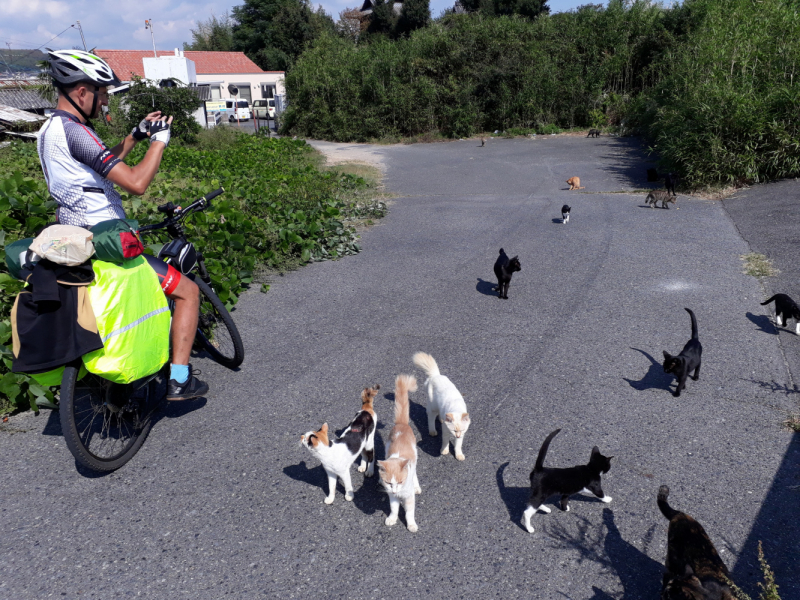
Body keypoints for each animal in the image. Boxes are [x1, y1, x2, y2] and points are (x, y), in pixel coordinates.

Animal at [378, 372, 422, 532]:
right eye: (389, 483)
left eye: (400, 482)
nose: (395, 490)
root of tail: (401, 424)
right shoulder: (392, 496)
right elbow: (394, 509)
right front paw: (392, 519)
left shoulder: (408, 497)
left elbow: (409, 512)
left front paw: (411, 525)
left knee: (415, 474)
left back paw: (417, 486)